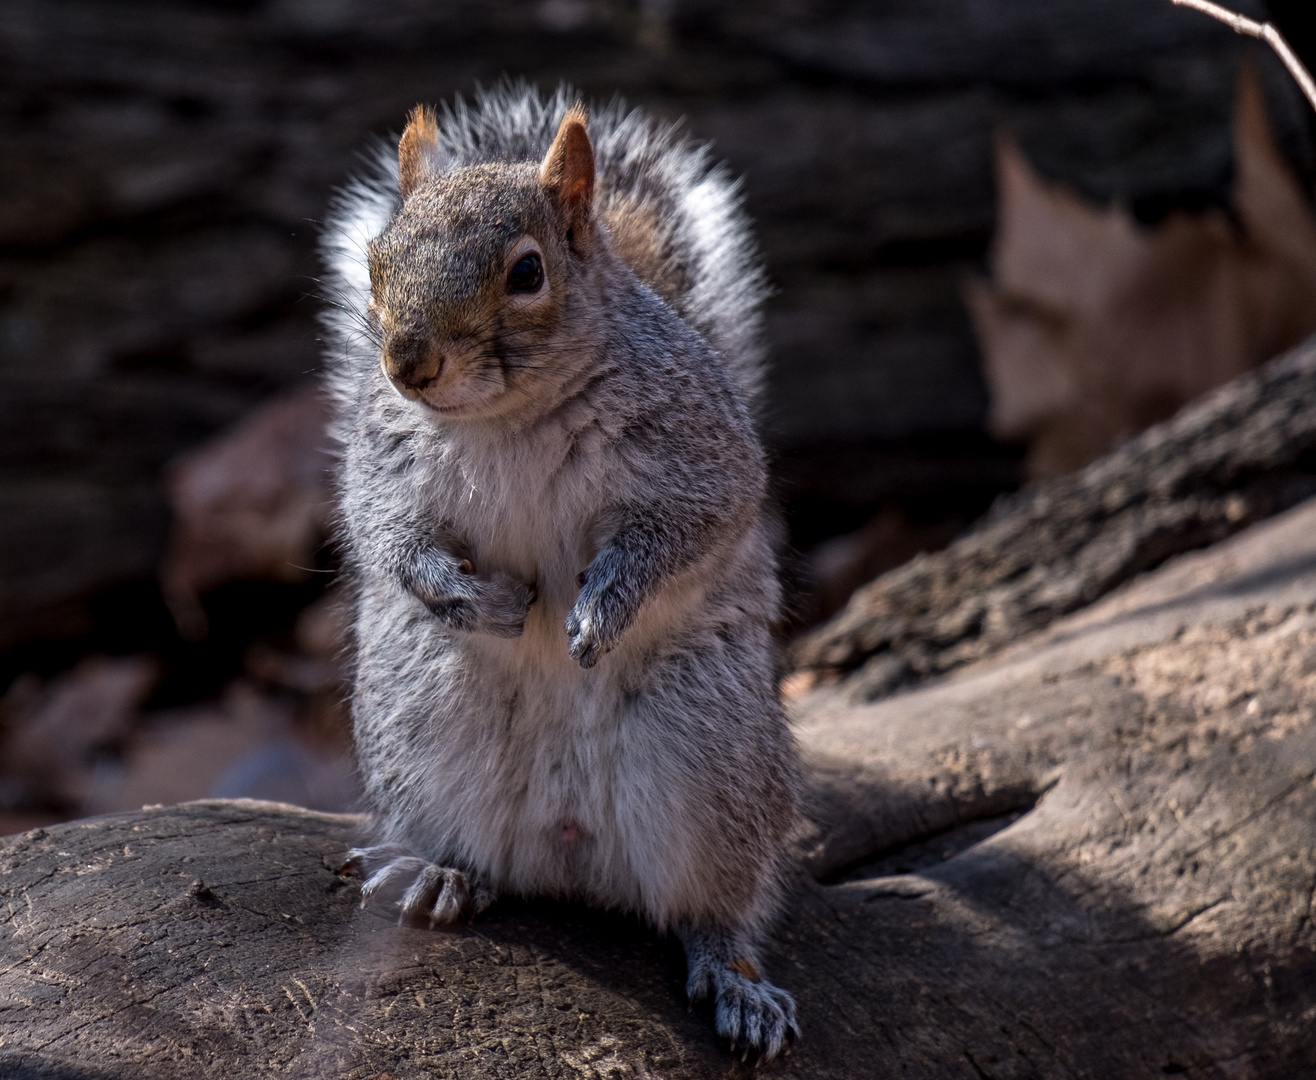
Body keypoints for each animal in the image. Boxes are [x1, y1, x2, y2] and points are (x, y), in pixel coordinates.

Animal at [321, 86, 800, 1062]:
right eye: (376, 263)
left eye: (527, 273)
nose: (407, 363)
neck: (508, 415)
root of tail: (571, 852)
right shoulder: (382, 458)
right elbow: (383, 534)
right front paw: (472, 596)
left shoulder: (700, 450)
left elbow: (694, 524)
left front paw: (601, 610)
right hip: (424, 721)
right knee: (476, 852)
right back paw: (437, 873)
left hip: (710, 754)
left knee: (717, 904)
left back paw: (736, 978)